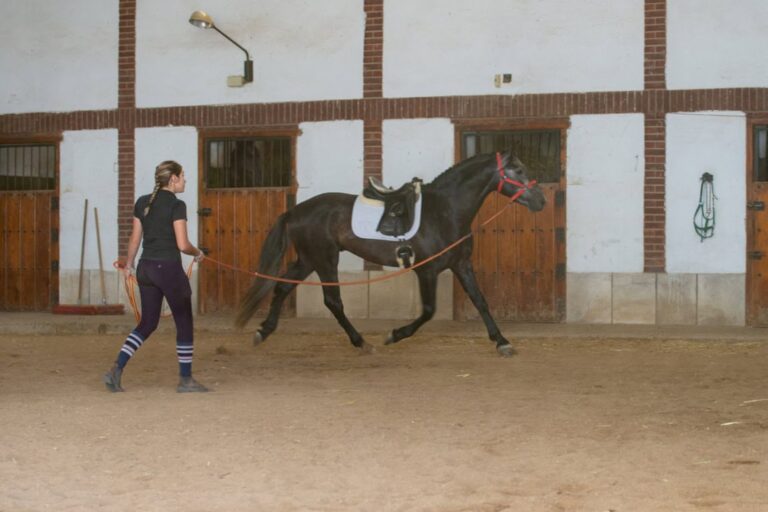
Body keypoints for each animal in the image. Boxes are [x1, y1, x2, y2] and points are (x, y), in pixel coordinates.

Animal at [235, 151, 547, 356]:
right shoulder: (427, 270)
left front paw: (501, 340)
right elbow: (429, 311)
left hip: (308, 259)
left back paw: (263, 331)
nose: (541, 200)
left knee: (282, 288)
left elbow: (480, 301)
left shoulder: (461, 264)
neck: (445, 211)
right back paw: (361, 342)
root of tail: (296, 211)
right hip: (324, 259)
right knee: (332, 301)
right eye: (519, 171)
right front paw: (394, 335)